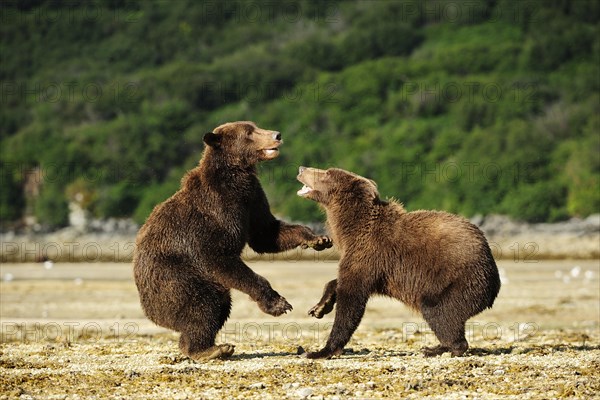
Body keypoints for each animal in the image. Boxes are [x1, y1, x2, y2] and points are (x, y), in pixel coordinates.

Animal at [132, 120, 332, 360]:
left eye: (255, 126)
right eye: (249, 133)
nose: (277, 134)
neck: (235, 178)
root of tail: (147, 307)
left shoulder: (251, 198)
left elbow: (266, 233)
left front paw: (318, 239)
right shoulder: (215, 213)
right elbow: (220, 257)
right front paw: (278, 303)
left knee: (219, 304)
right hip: (174, 276)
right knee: (203, 303)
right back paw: (209, 349)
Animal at [296, 166, 502, 360]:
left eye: (327, 173)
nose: (302, 168)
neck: (349, 230)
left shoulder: (371, 253)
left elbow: (351, 300)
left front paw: (321, 351)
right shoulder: (367, 262)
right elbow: (342, 281)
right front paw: (319, 307)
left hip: (457, 282)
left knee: (438, 311)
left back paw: (438, 348)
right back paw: (438, 346)